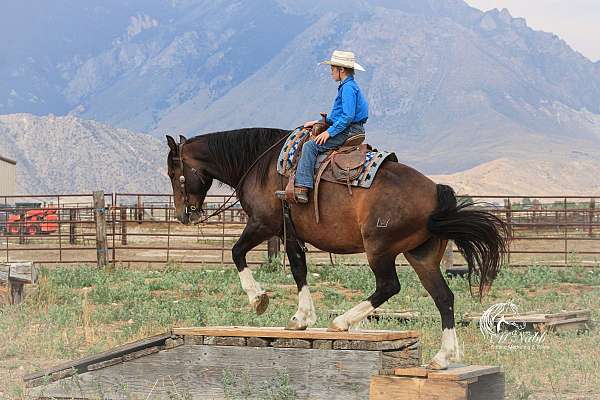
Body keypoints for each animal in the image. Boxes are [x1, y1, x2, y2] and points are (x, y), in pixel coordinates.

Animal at [164, 127, 506, 368]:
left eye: (172, 172)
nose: (184, 215)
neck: (261, 165)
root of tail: (436, 193)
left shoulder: (264, 224)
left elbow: (239, 253)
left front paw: (262, 300)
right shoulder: (290, 233)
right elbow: (298, 267)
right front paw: (301, 316)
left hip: (379, 249)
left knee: (389, 286)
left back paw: (342, 322)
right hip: (421, 255)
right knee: (443, 297)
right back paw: (443, 357)